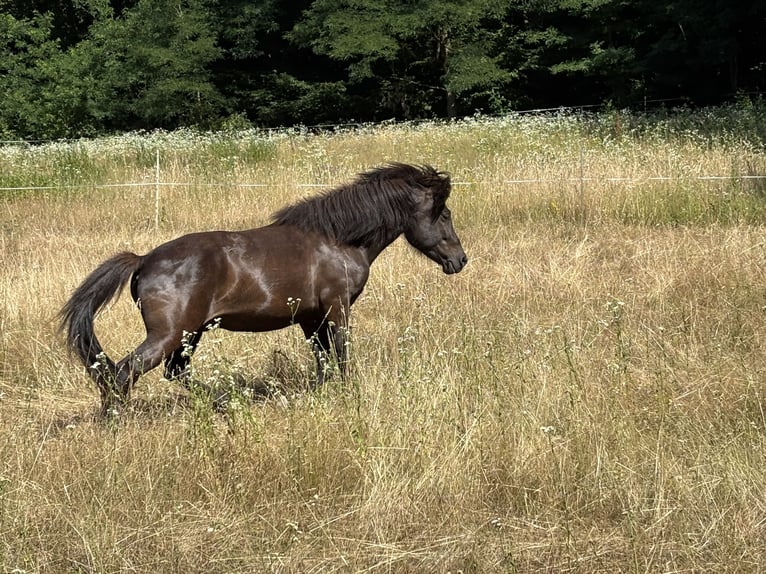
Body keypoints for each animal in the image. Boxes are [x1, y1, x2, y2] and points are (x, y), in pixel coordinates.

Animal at [59, 163, 468, 416]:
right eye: (445, 214)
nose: (460, 260)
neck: (337, 239)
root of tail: (144, 260)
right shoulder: (337, 308)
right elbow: (341, 354)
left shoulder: (309, 318)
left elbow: (322, 360)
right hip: (169, 334)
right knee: (125, 371)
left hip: (191, 333)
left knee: (175, 372)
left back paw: (225, 402)